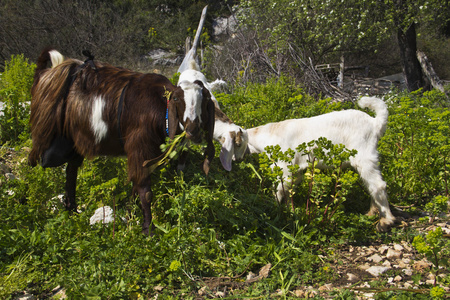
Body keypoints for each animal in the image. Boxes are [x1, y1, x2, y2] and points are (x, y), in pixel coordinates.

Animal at [29, 49, 215, 236]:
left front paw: (130, 214)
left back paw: (72, 210)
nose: (193, 129)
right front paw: (148, 229)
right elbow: (145, 192)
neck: (160, 107)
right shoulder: (139, 147)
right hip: (45, 134)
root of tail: (47, 73)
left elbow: (136, 185)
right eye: (176, 99)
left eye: (205, 99)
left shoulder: (144, 156)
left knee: (71, 170)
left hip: (74, 142)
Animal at [246, 96, 398, 232]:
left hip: (364, 156)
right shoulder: (296, 170)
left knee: (378, 185)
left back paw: (385, 221)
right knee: (371, 185)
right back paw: (372, 213)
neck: (269, 135)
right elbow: (290, 190)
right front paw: (290, 210)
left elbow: (279, 189)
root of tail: (375, 123)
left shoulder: (285, 168)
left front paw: (274, 208)